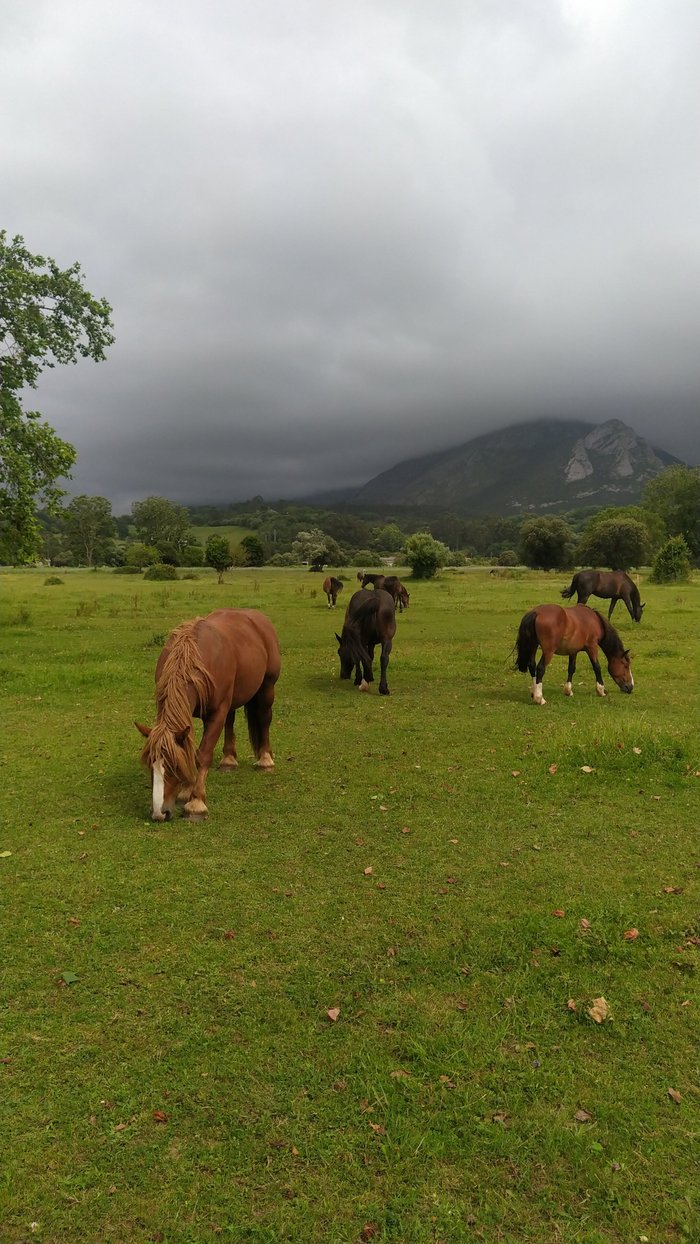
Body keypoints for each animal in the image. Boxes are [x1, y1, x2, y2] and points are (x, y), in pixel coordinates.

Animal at [135, 607, 280, 821]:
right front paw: (186, 790)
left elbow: (202, 754)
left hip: (267, 687)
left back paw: (265, 760)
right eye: (150, 765)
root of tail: (259, 618)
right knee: (230, 720)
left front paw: (196, 803)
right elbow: (190, 749)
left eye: (174, 767)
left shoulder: (216, 712)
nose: (160, 813)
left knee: (264, 718)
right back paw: (229, 760)